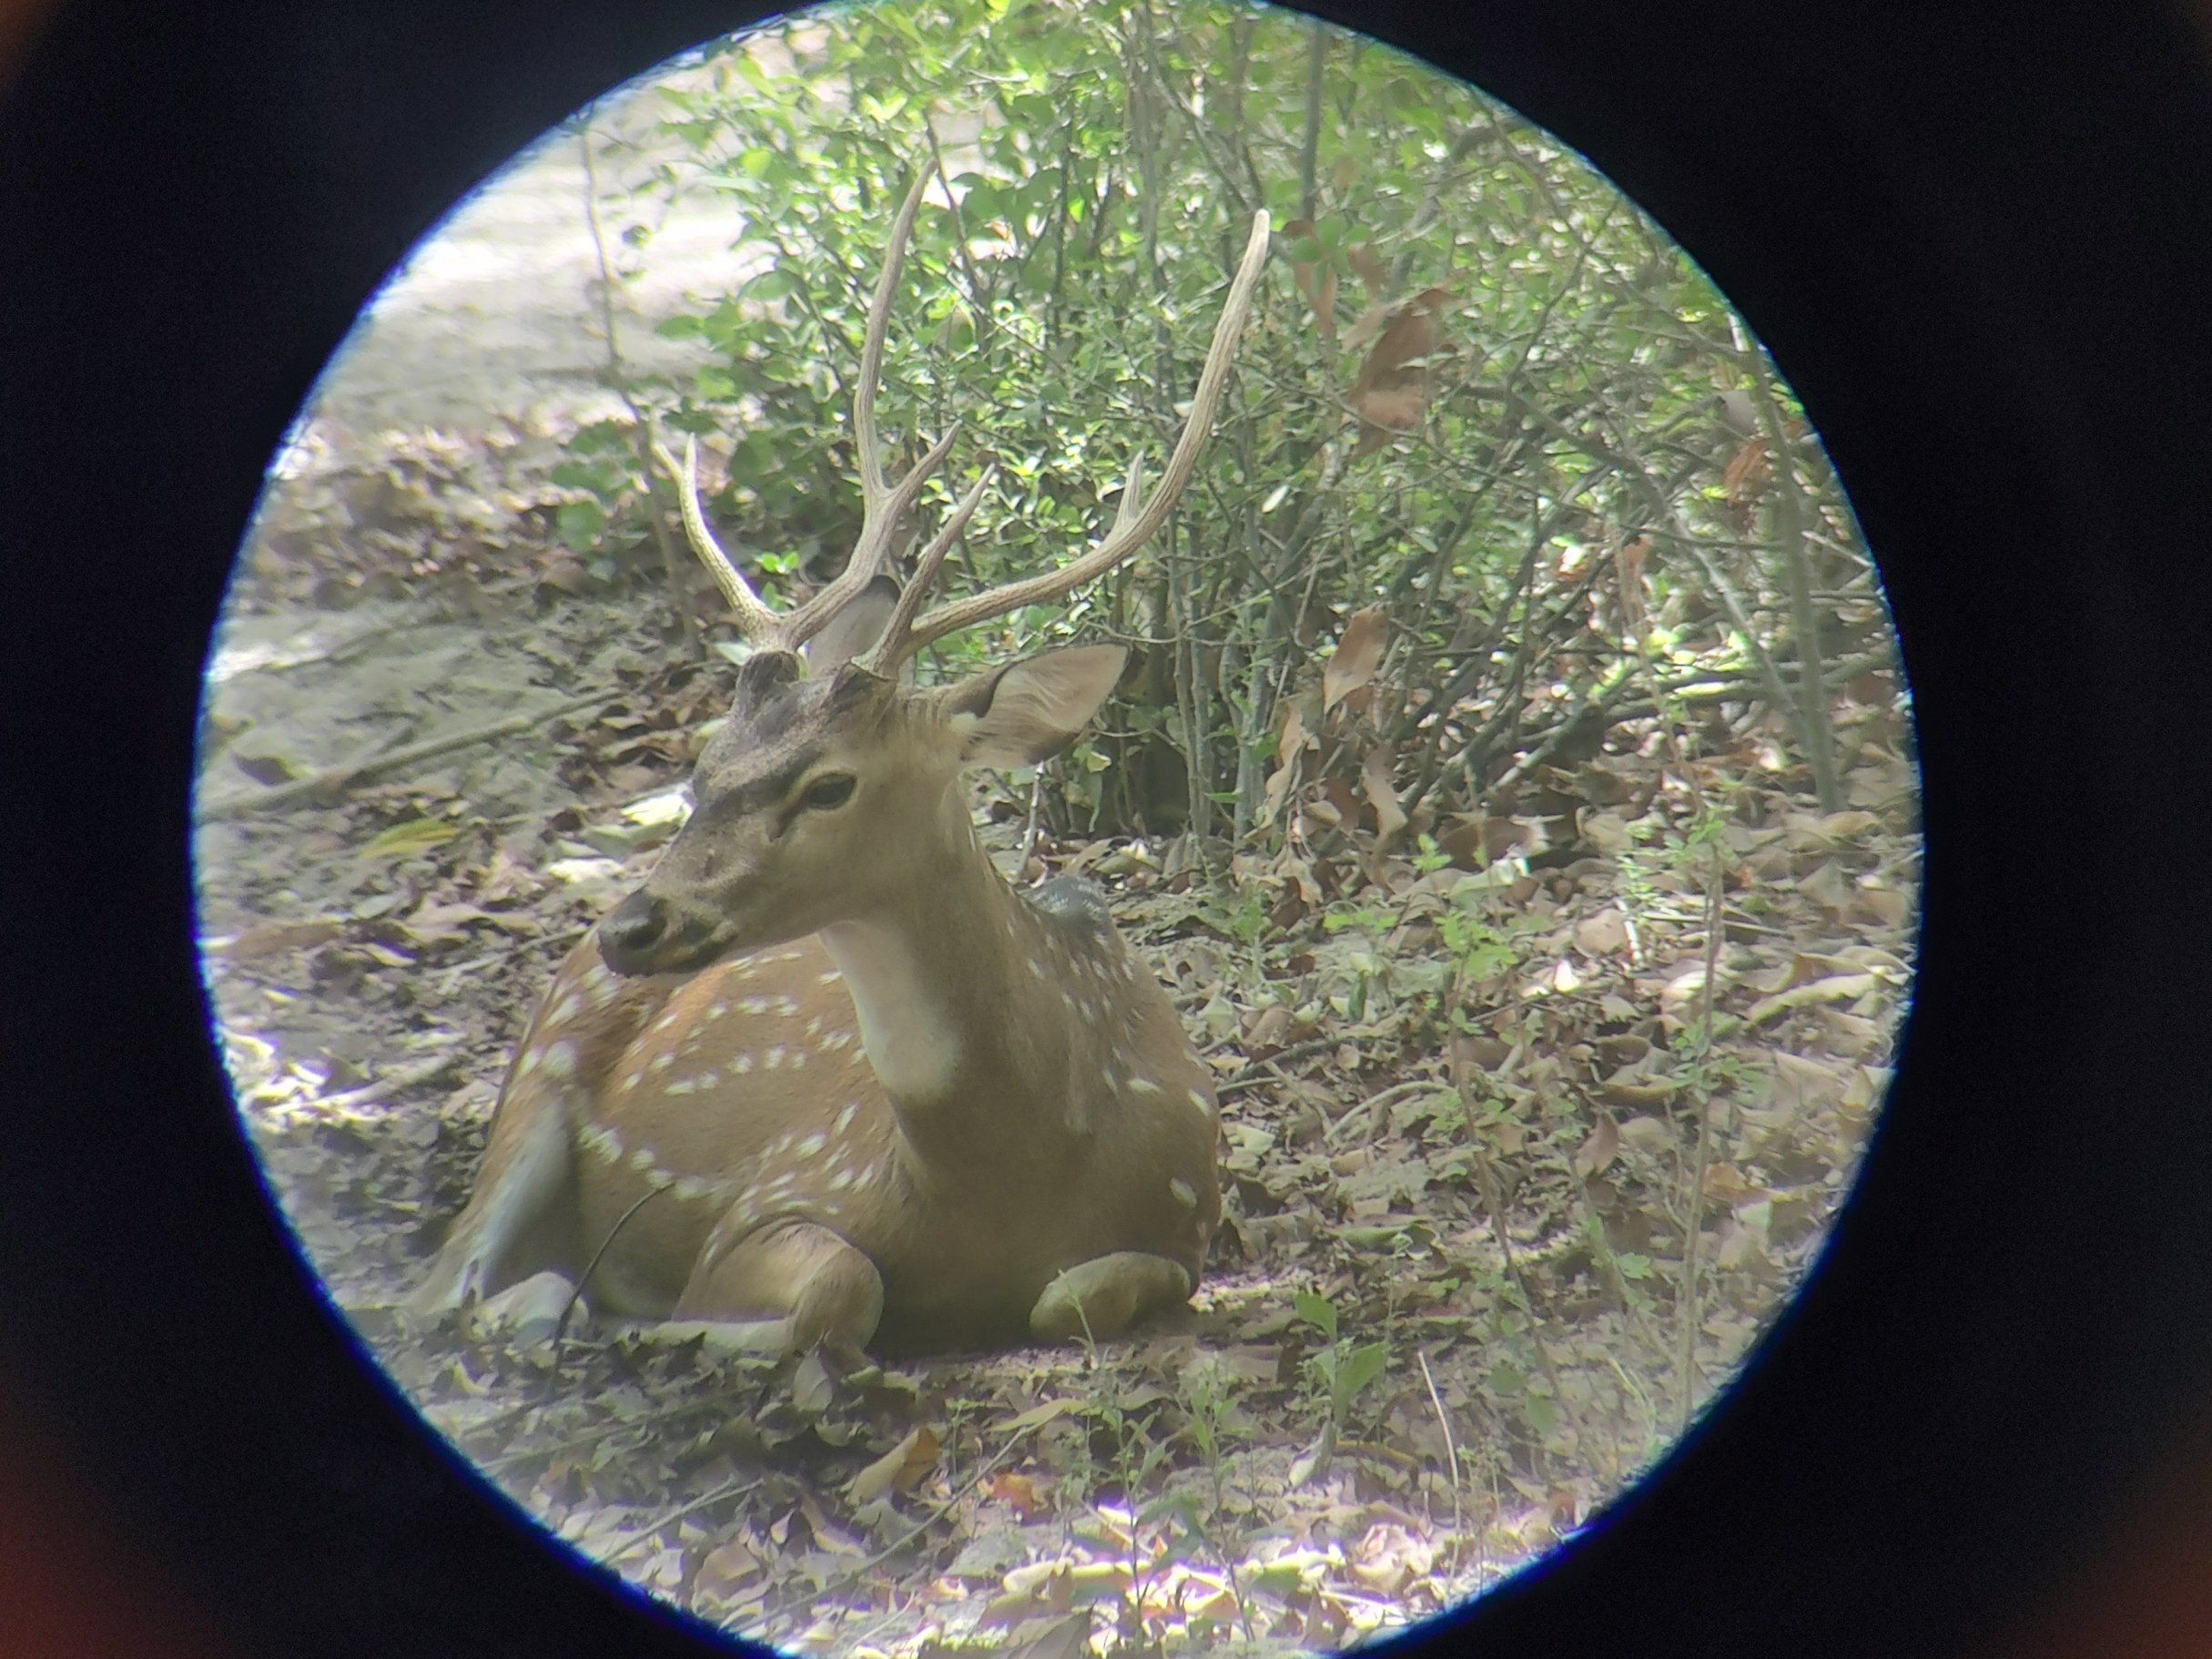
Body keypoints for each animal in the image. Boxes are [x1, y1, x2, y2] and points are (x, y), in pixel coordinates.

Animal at [413, 181, 1273, 1353]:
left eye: (830, 783)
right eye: (701, 766)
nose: (631, 925)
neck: (1015, 1171)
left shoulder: (1190, 1213)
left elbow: (1076, 1292)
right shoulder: (774, 1195)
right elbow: (842, 1286)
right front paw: (665, 1328)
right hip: (536, 1079)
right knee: (439, 1287)